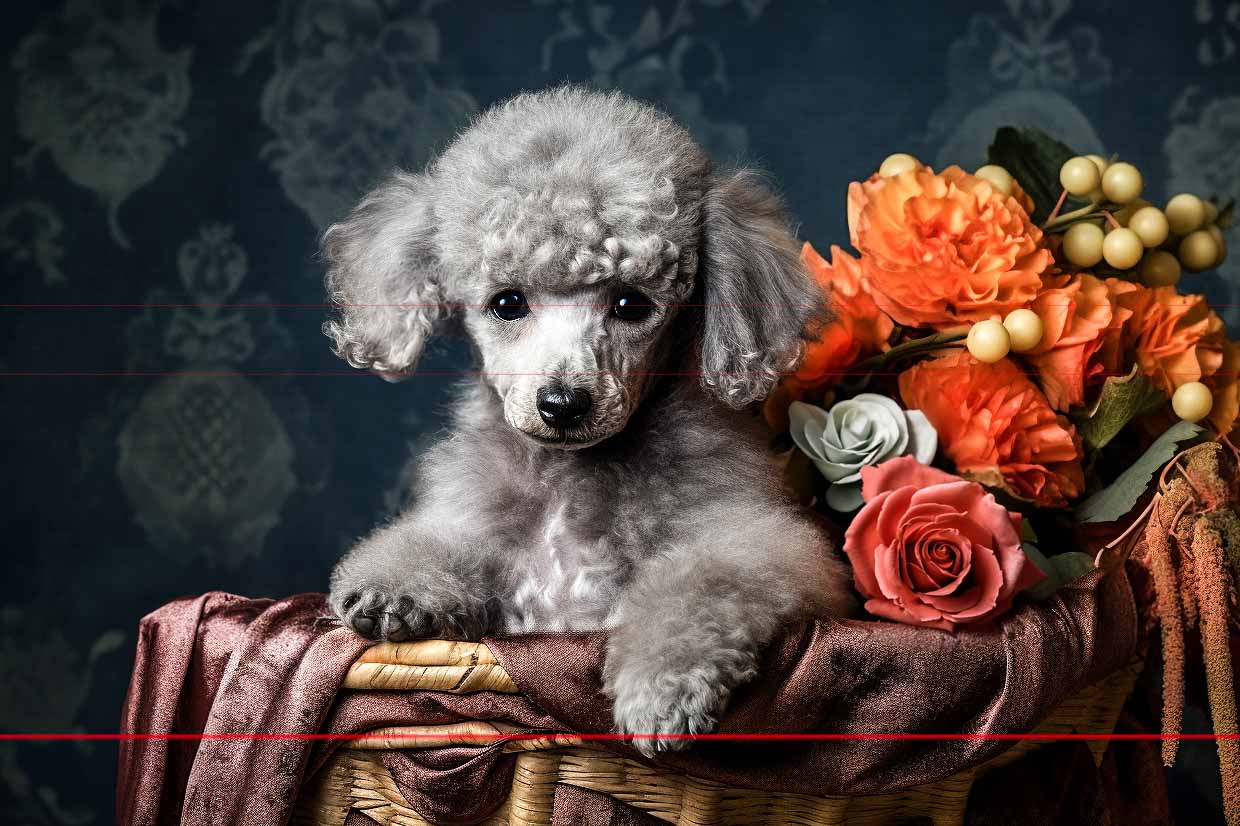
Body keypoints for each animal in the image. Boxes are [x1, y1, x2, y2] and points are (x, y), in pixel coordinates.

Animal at [324, 86, 858, 749]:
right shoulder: (479, 533)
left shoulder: (762, 547)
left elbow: (703, 581)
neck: (571, 477)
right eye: (506, 303)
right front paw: (395, 587)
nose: (562, 404)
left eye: (632, 304)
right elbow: (442, 543)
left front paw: (661, 689)